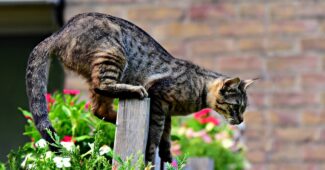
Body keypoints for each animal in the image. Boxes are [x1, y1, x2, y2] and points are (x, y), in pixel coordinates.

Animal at [26, 12, 253, 163]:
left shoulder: (167, 112)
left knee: (98, 108)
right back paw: (134, 91)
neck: (199, 89)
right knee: (103, 87)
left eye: (244, 109)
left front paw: (167, 154)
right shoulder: (159, 100)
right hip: (112, 54)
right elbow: (155, 135)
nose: (241, 120)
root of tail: (57, 34)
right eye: (236, 107)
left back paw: (117, 117)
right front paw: (152, 157)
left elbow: (167, 135)